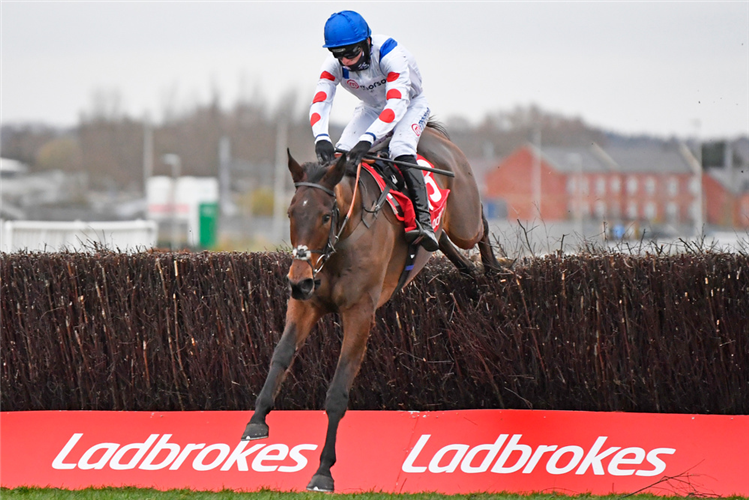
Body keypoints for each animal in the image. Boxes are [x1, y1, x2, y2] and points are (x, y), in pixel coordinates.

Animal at [243, 122, 500, 492]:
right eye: (291, 213)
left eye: (325, 216)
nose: (297, 280)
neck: (342, 240)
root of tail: (435, 134)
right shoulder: (305, 304)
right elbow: (280, 356)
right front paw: (255, 421)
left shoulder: (360, 313)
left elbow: (338, 391)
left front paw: (323, 471)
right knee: (446, 244)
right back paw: (468, 269)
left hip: (465, 218)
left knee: (481, 225)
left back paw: (494, 270)